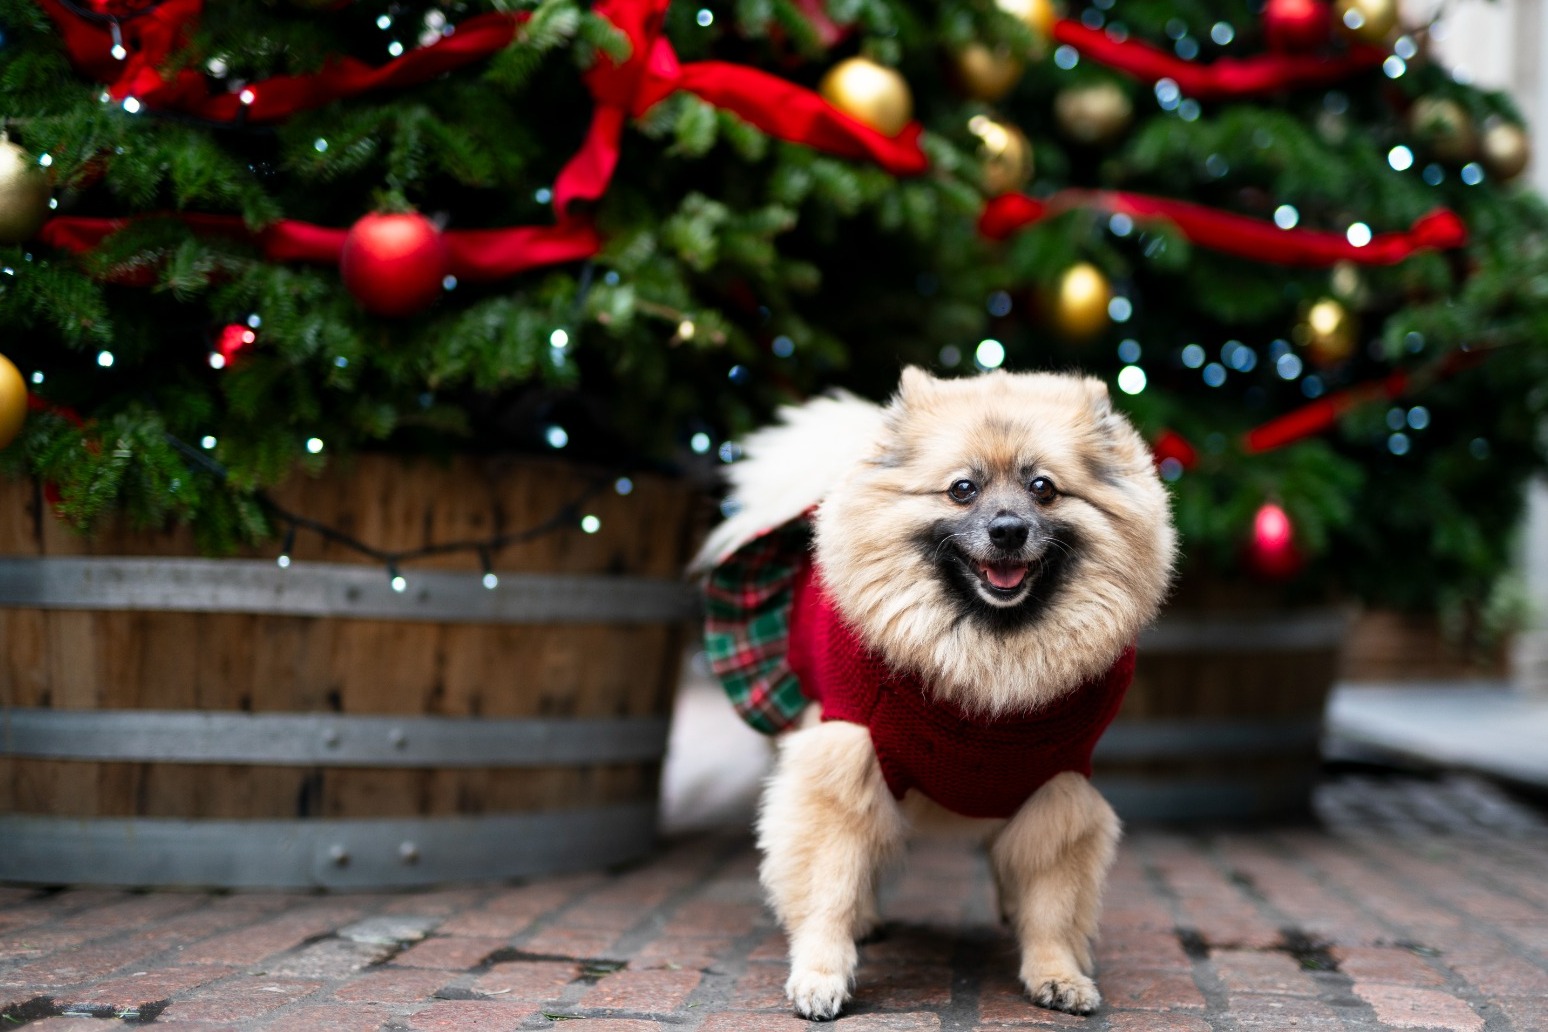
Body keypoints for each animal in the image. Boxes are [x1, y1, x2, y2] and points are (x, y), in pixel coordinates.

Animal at [693, 366, 1170, 1021]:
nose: (1007, 529)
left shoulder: (1059, 786)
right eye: (962, 489)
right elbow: (829, 885)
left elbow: (1051, 900)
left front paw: (1056, 972)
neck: (986, 655)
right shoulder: (844, 759)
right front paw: (821, 972)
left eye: (1043, 489)